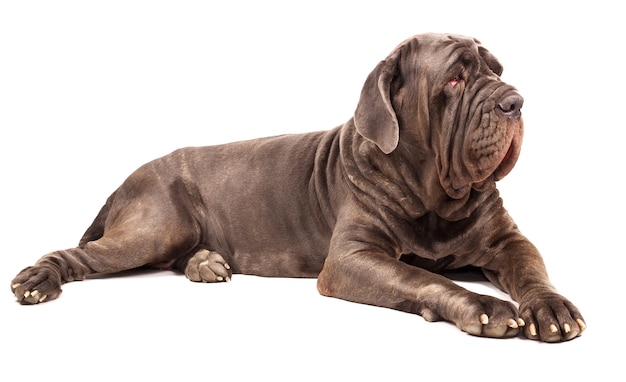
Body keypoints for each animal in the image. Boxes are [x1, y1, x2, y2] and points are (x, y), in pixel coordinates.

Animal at [11, 33, 584, 344]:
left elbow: (532, 270)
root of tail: (127, 176)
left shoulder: (508, 240)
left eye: (498, 71)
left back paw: (206, 263)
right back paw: (38, 280)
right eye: (456, 79)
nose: (515, 101)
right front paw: (483, 306)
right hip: (155, 226)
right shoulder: (352, 258)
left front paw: (550, 307)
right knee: (80, 255)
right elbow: (422, 277)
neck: (433, 197)